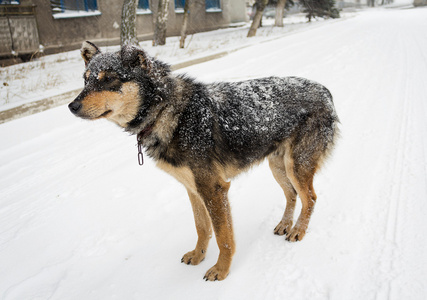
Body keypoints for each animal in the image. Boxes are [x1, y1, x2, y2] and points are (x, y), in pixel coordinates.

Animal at [68, 41, 340, 282]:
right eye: (86, 80)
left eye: (108, 79)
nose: (71, 106)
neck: (168, 111)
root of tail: (325, 90)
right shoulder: (193, 188)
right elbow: (202, 228)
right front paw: (198, 256)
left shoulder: (214, 188)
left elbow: (224, 237)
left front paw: (221, 270)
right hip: (278, 168)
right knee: (291, 195)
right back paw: (285, 225)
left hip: (296, 167)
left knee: (310, 198)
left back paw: (298, 231)